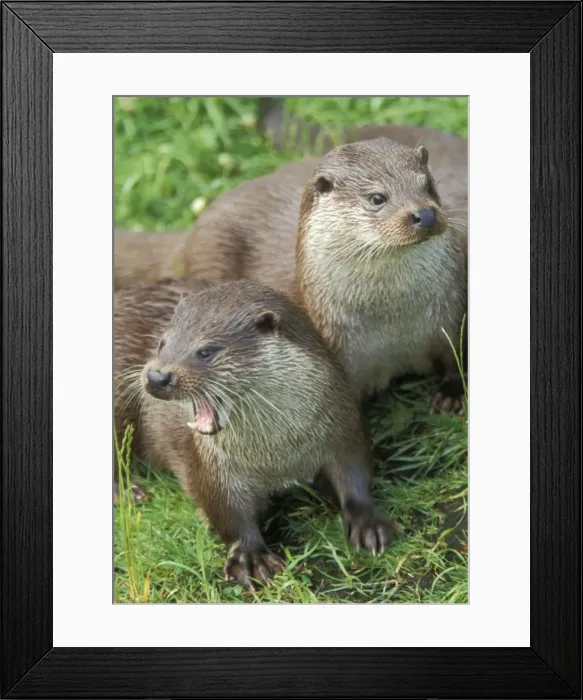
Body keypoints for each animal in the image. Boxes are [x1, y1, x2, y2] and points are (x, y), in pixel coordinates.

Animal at [114, 279, 398, 588]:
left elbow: (355, 474)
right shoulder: (214, 468)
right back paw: (129, 491)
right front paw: (250, 557)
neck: (278, 455)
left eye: (206, 351)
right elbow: (227, 513)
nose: (157, 376)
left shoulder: (343, 427)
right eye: (162, 343)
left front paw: (367, 522)